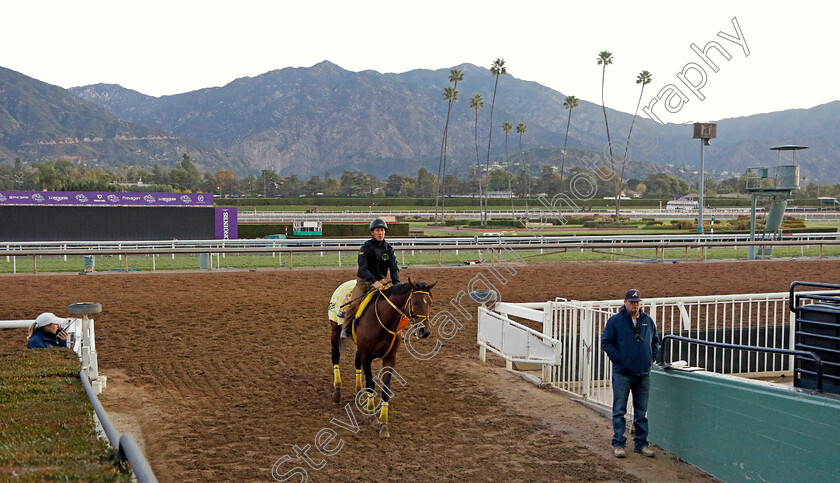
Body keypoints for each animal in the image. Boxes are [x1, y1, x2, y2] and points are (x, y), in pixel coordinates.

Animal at [326, 276, 434, 438]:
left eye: (430, 302)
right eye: (415, 302)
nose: (425, 331)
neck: (384, 320)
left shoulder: (390, 358)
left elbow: (386, 389)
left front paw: (383, 424)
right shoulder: (366, 357)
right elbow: (371, 384)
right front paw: (371, 416)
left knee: (356, 361)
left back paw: (359, 390)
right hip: (335, 330)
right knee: (335, 356)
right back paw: (337, 391)